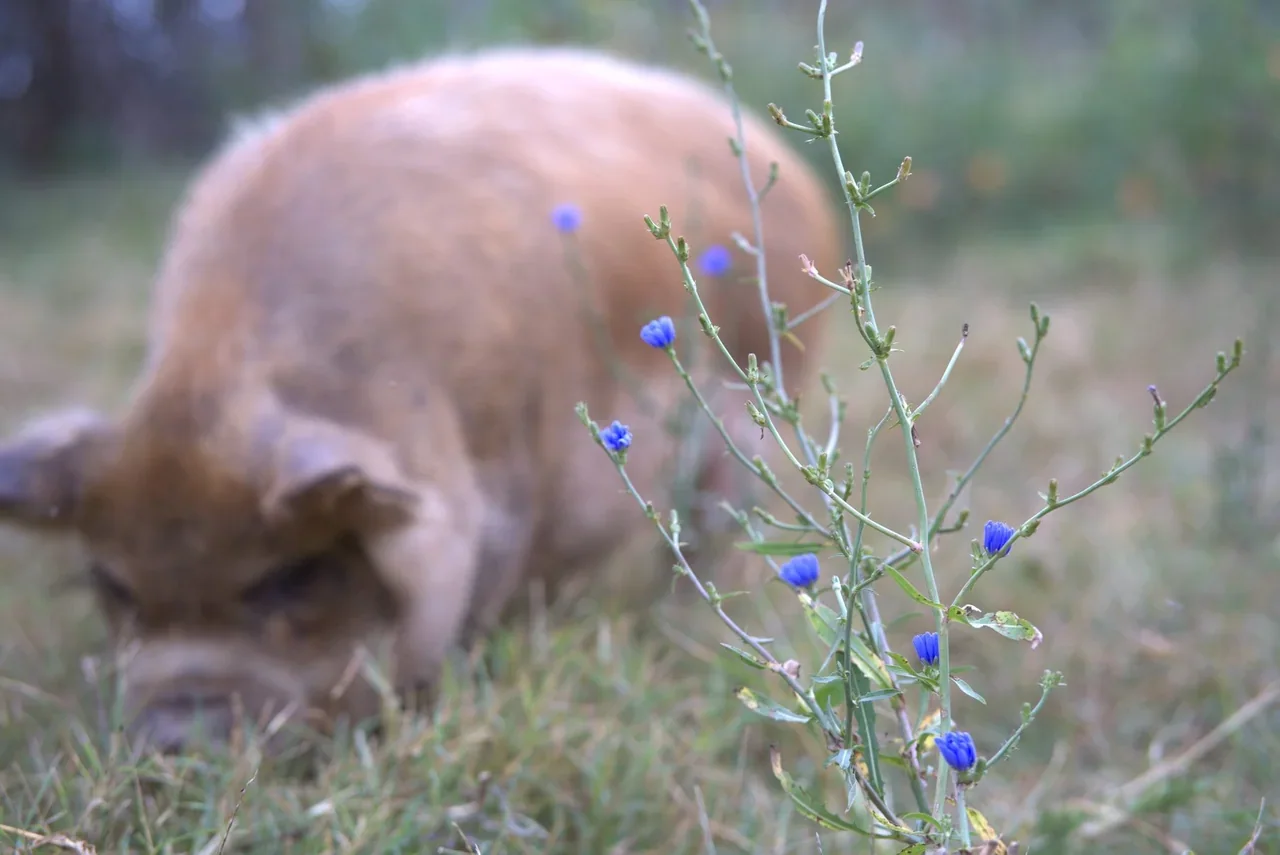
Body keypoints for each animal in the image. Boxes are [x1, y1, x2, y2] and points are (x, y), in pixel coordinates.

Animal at [0, 46, 843, 753]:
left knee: (713, 533)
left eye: (290, 576)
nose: (175, 733)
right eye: (112, 582)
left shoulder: (500, 481)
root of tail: (794, 173)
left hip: (753, 413)